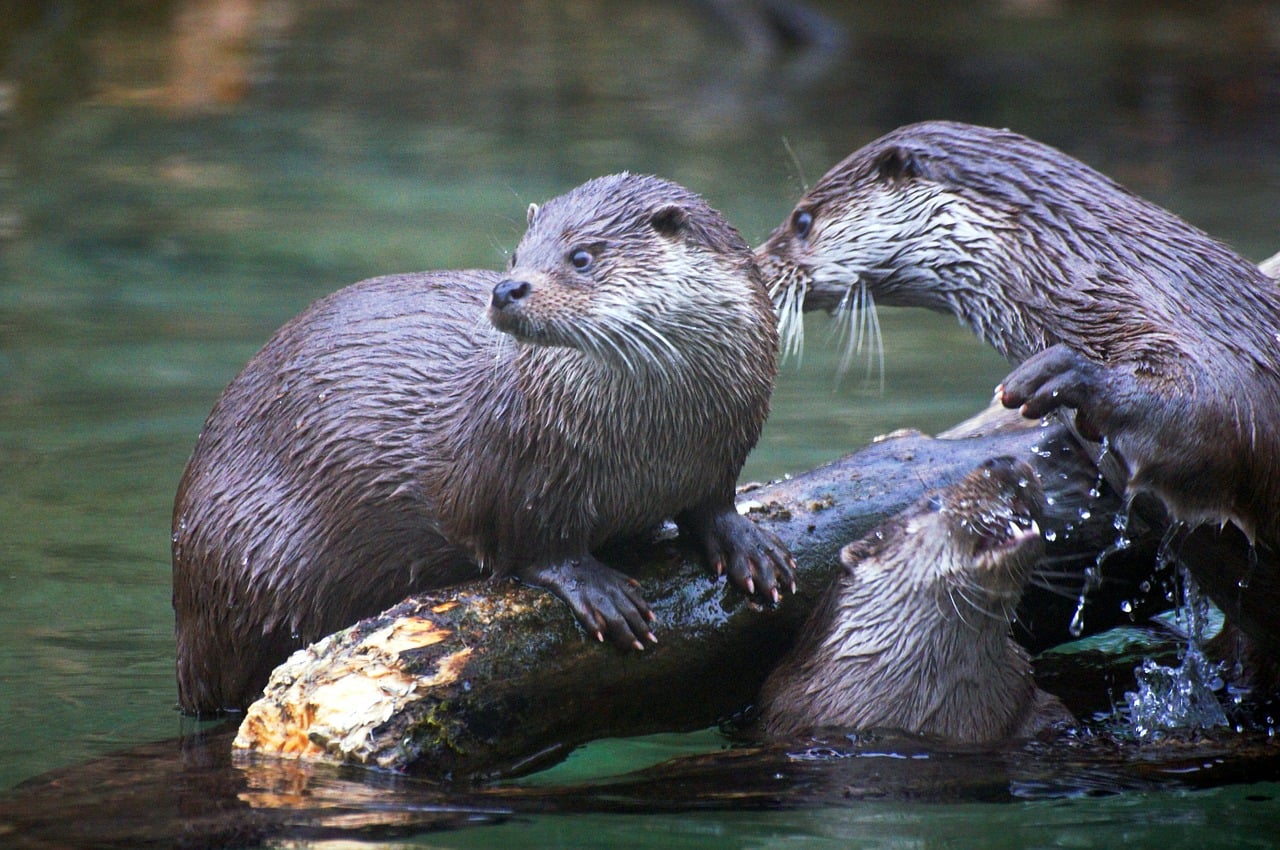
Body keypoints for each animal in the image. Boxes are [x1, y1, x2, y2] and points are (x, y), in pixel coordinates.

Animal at [170, 174, 788, 716]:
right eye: (516, 255)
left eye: (581, 257)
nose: (507, 288)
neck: (656, 442)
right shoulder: (522, 468)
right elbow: (533, 546)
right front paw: (598, 589)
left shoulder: (723, 448)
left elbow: (713, 503)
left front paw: (748, 544)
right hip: (247, 563)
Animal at [752, 119, 1280, 665]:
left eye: (802, 220)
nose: (756, 264)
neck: (1085, 270)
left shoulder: (1205, 334)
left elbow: (1228, 416)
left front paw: (1071, 373)